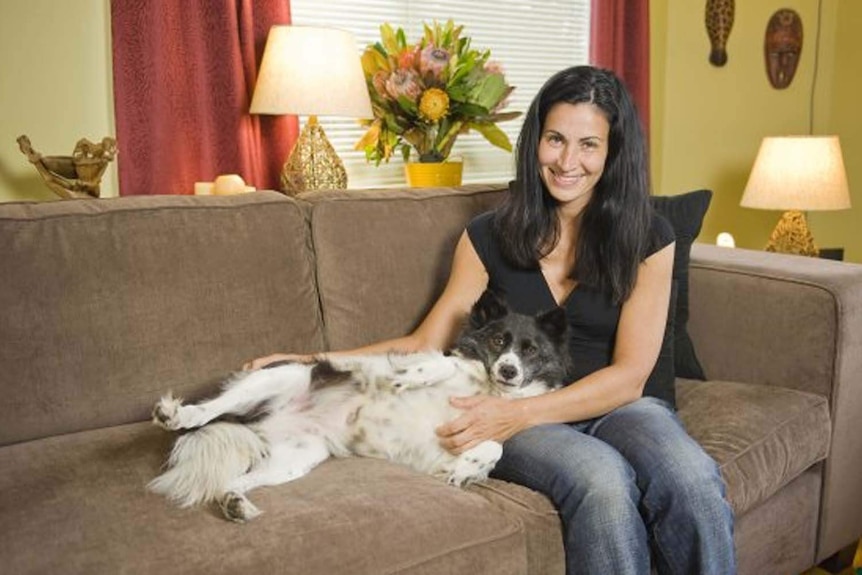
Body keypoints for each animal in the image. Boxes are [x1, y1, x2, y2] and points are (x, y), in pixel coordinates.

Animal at [147, 290, 572, 524]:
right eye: (499, 341)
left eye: (531, 351)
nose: (508, 370)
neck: (491, 390)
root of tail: (261, 423)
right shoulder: (443, 362)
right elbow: (440, 364)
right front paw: (408, 380)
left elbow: (493, 447)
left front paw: (466, 471)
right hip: (283, 376)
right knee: (206, 410)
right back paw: (176, 414)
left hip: (299, 456)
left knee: (231, 483)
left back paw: (235, 505)